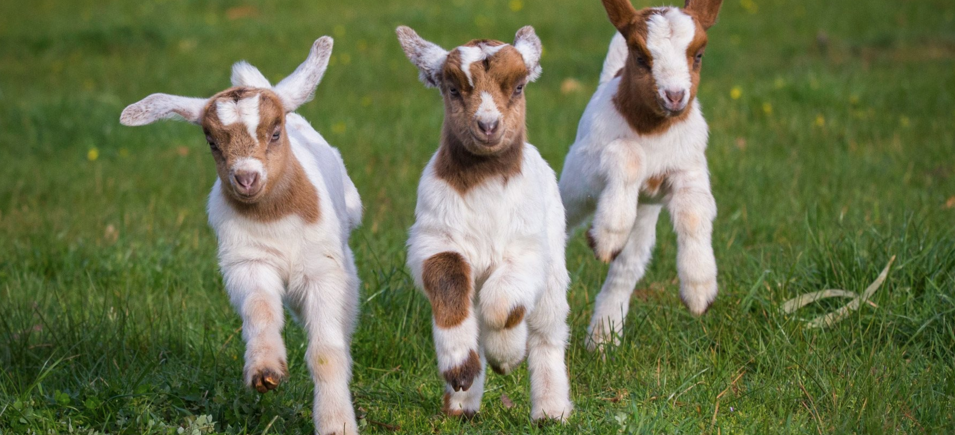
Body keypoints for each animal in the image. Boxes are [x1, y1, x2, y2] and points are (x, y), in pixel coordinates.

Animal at [119, 37, 363, 435]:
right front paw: (265, 372)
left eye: (275, 132)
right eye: (211, 142)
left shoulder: (322, 270)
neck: (273, 215)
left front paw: (336, 424)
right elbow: (260, 309)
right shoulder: (247, 261)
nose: (246, 178)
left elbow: (326, 352)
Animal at [397, 25, 573, 422]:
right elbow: (448, 286)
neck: (485, 179)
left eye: (519, 86)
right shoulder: (435, 239)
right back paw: (462, 405)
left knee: (547, 331)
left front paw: (506, 356)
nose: (489, 126)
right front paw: (460, 371)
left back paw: (551, 410)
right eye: (452, 89)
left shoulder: (529, 249)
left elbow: (502, 303)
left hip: (555, 265)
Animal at [559, 0, 724, 350]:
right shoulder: (592, 159)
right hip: (575, 185)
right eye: (639, 56)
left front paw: (700, 292)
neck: (653, 130)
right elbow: (627, 155)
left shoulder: (689, 167)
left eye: (699, 55)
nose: (674, 96)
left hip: (645, 212)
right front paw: (606, 236)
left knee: (627, 265)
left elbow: (694, 212)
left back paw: (603, 340)